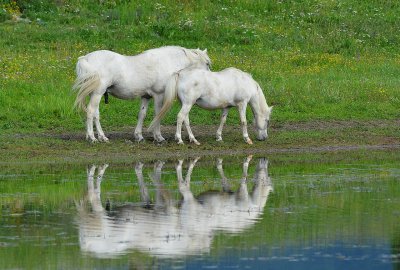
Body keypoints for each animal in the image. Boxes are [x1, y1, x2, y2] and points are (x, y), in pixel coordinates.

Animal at [72, 46, 209, 143]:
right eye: (207, 63)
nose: (209, 76)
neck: (167, 61)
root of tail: (85, 58)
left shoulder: (146, 96)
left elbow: (142, 115)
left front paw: (139, 136)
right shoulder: (159, 95)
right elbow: (158, 115)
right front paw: (158, 137)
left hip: (95, 94)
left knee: (95, 114)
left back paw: (101, 137)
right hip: (97, 93)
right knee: (91, 111)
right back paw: (92, 137)